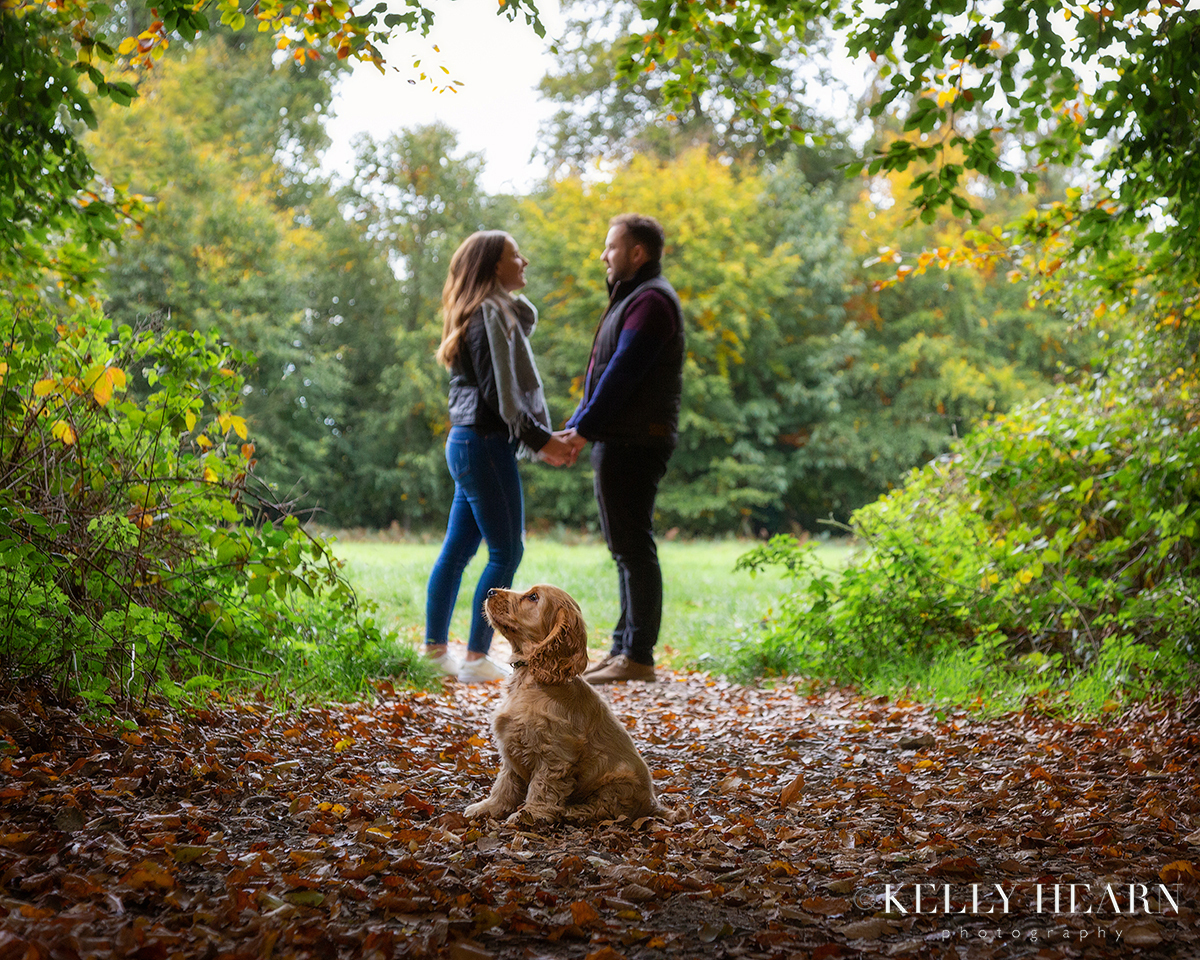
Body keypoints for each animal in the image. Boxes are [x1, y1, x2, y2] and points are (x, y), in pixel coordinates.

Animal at [460, 585, 667, 825]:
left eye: (533, 597)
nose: (490, 591)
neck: (529, 677)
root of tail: (653, 804)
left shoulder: (554, 752)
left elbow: (542, 787)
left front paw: (529, 815)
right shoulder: (510, 744)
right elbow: (505, 782)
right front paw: (488, 807)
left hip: (618, 784)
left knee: (603, 809)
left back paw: (571, 811)